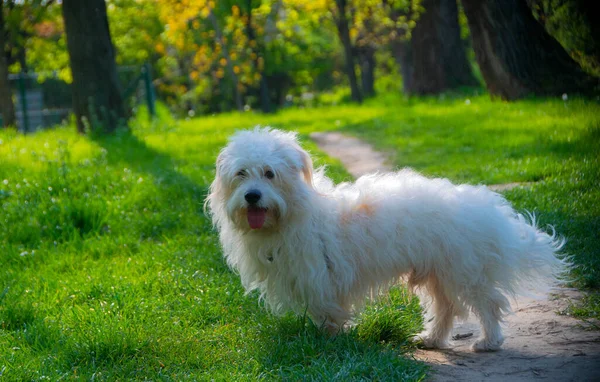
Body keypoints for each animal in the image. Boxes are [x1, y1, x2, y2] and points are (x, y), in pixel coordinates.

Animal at [206, 127, 568, 352]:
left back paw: (489, 341)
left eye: (270, 173)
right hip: (439, 274)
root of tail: (490, 210)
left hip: (464, 272)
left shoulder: (320, 277)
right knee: (447, 308)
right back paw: (432, 339)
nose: (252, 196)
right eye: (241, 174)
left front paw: (327, 340)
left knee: (487, 304)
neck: (294, 213)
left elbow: (327, 311)